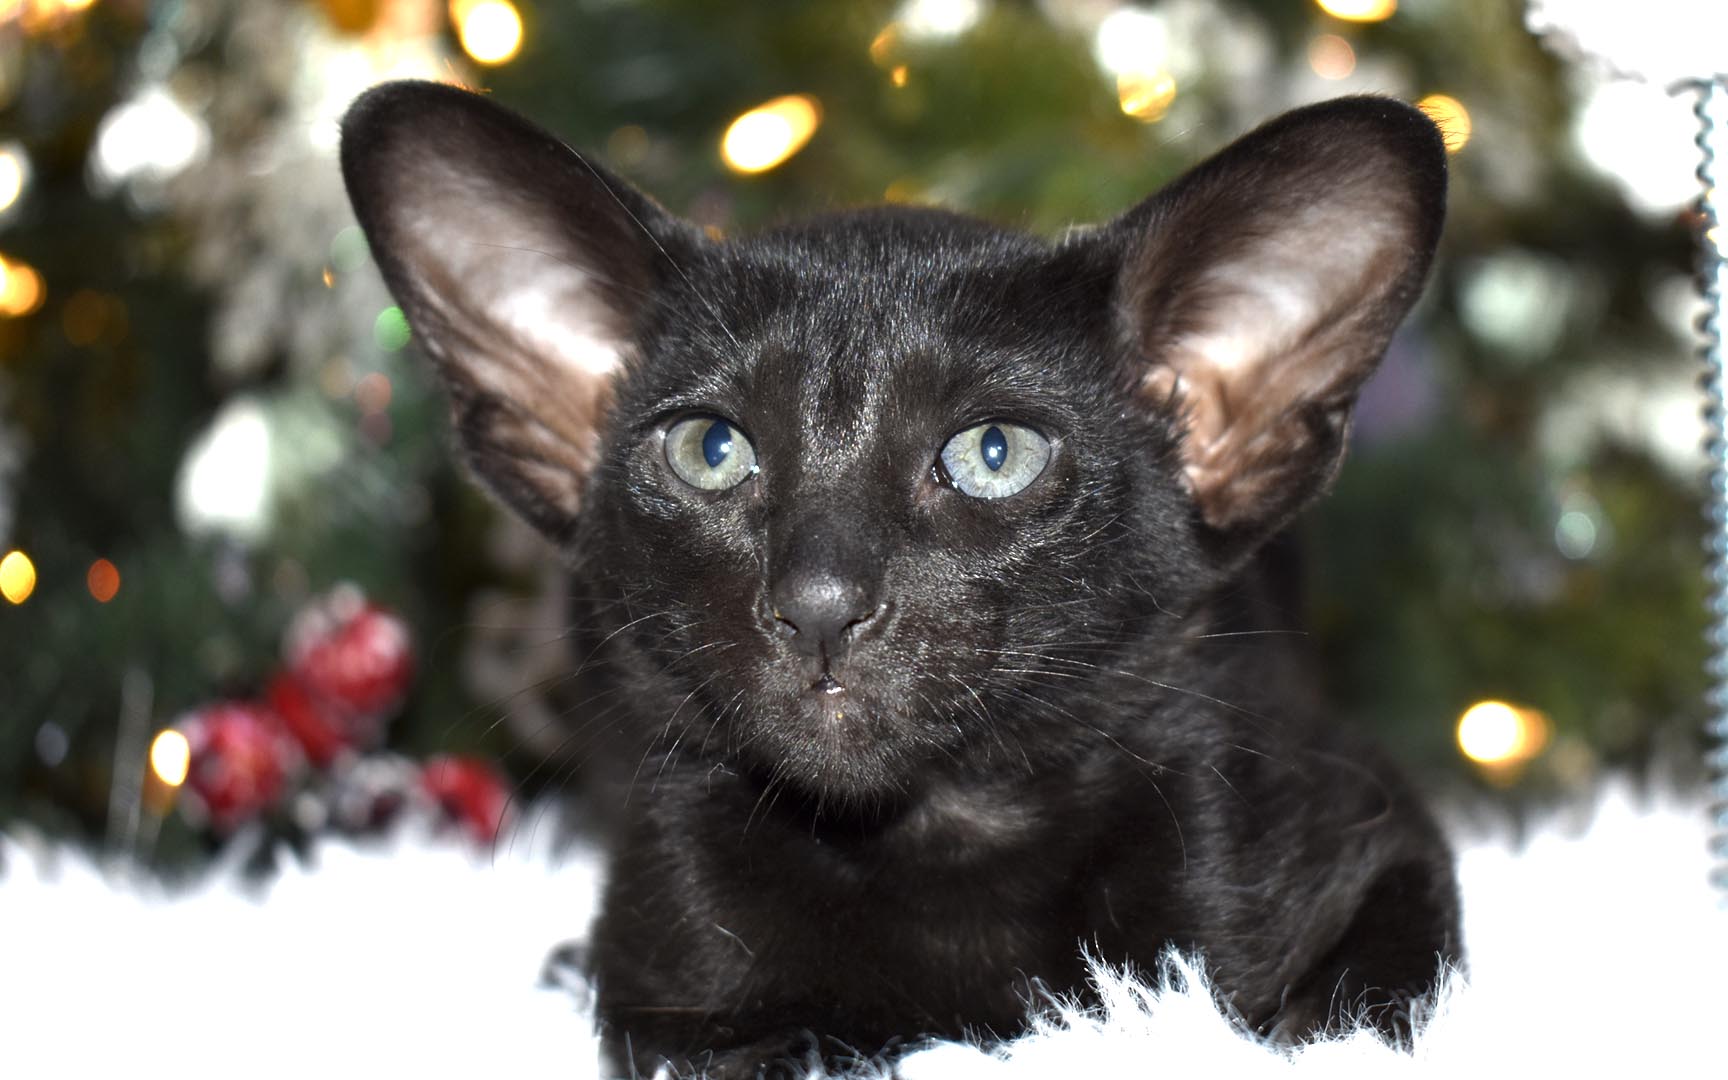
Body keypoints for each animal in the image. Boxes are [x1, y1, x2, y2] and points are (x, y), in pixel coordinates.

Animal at [347, 79, 1458, 1071]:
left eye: (995, 455)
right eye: (710, 450)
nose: (819, 606)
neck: (935, 838)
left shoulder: (1374, 834)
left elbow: (1352, 1012)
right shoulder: (670, 980)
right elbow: (740, 1044)